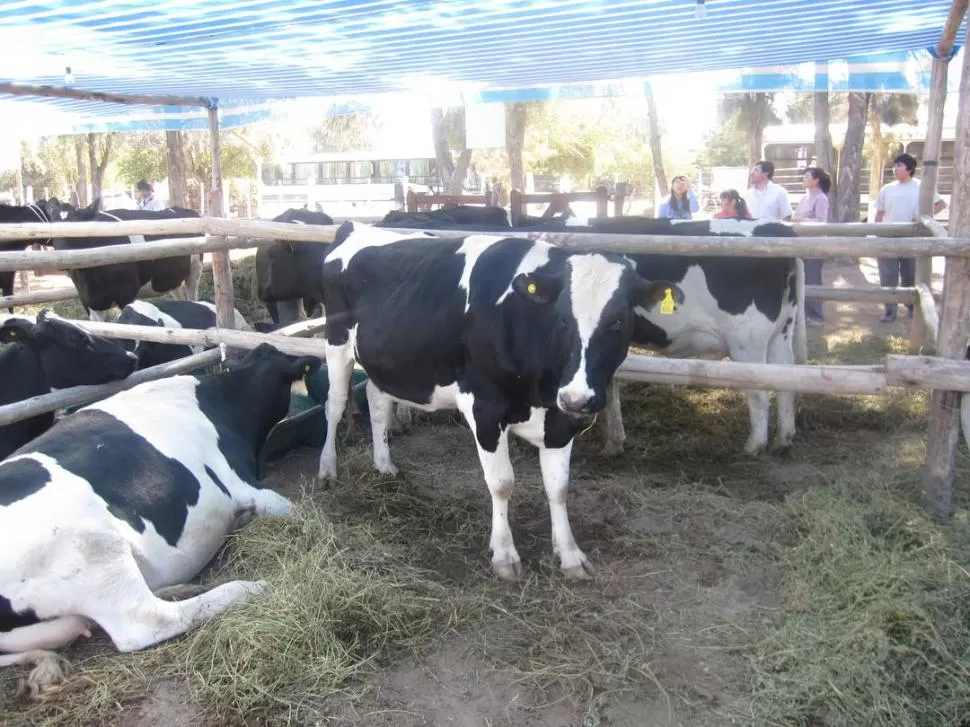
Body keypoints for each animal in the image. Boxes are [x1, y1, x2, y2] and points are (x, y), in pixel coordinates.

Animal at [50, 198, 204, 320]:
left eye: (77, 228)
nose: (61, 256)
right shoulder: (88, 301)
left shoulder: (126, 294)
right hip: (172, 278)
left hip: (195, 270)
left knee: (192, 295)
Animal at [318, 222, 680, 580]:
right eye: (562, 318)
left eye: (618, 321)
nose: (578, 399)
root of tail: (354, 227)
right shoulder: (485, 408)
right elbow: (502, 482)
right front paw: (505, 554)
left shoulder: (561, 419)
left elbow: (559, 487)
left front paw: (570, 555)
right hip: (336, 343)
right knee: (333, 405)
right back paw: (327, 469)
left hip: (384, 360)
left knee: (376, 401)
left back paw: (384, 465)